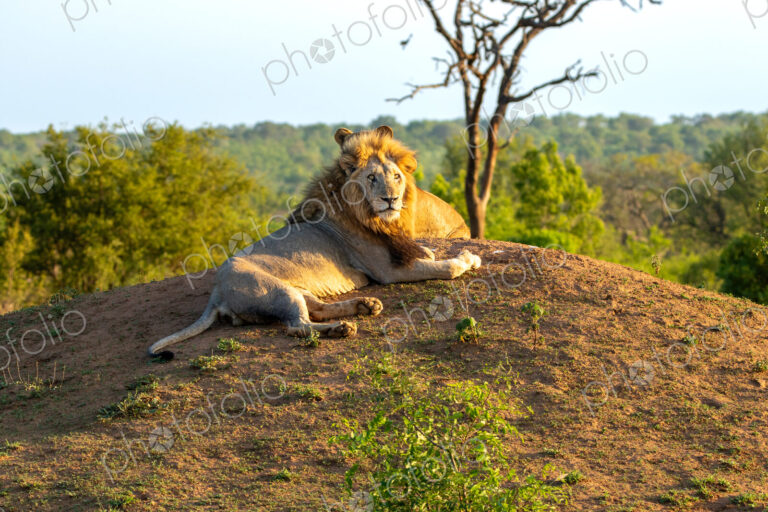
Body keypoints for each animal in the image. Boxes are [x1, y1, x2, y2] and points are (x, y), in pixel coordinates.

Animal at [147, 125, 481, 358]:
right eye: (371, 178)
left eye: (396, 176)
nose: (391, 199)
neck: (371, 216)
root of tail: (216, 292)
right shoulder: (388, 271)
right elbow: (444, 268)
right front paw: (467, 258)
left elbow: (428, 254)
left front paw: (439, 252)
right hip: (277, 291)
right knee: (299, 326)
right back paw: (343, 328)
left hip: (296, 290)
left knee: (317, 308)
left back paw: (365, 306)